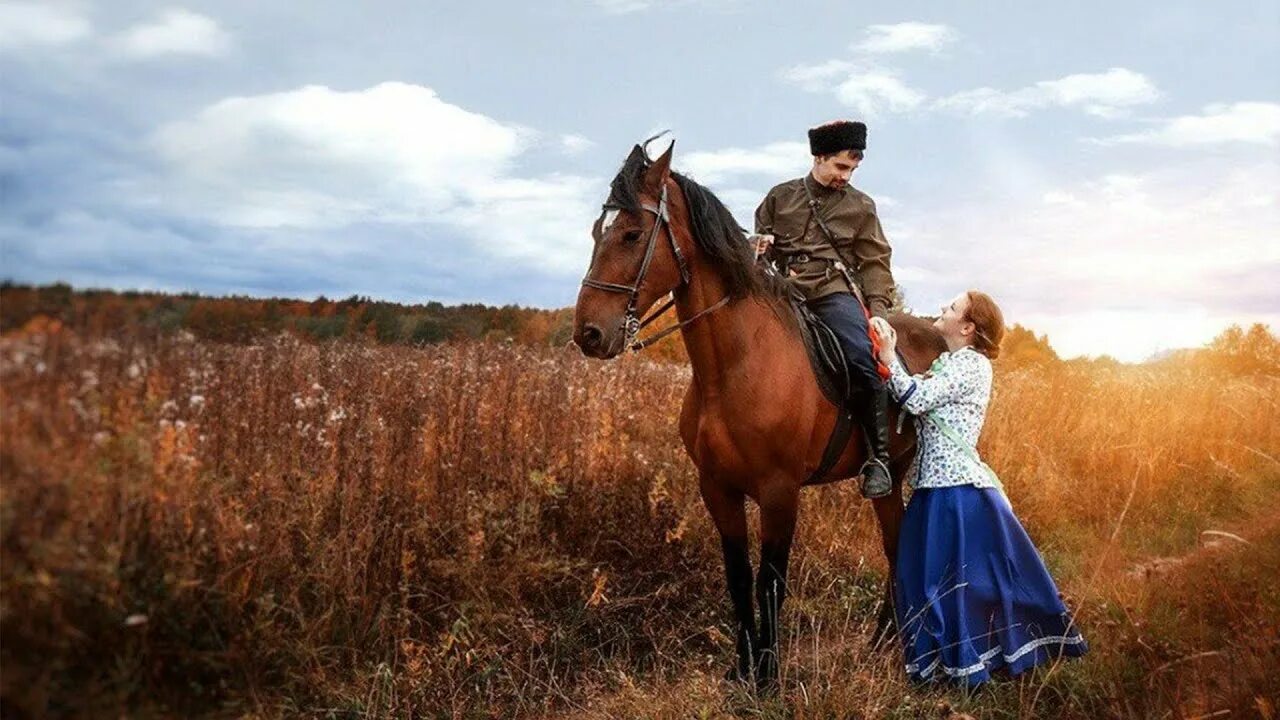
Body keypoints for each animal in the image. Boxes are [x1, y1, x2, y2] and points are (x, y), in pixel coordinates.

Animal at [576, 139, 947, 681]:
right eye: (596, 231)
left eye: (631, 234)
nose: (588, 333)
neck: (732, 368)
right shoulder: (718, 490)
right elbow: (738, 576)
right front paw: (743, 669)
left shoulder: (779, 494)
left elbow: (771, 582)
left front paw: (768, 676)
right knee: (896, 545)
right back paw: (884, 639)